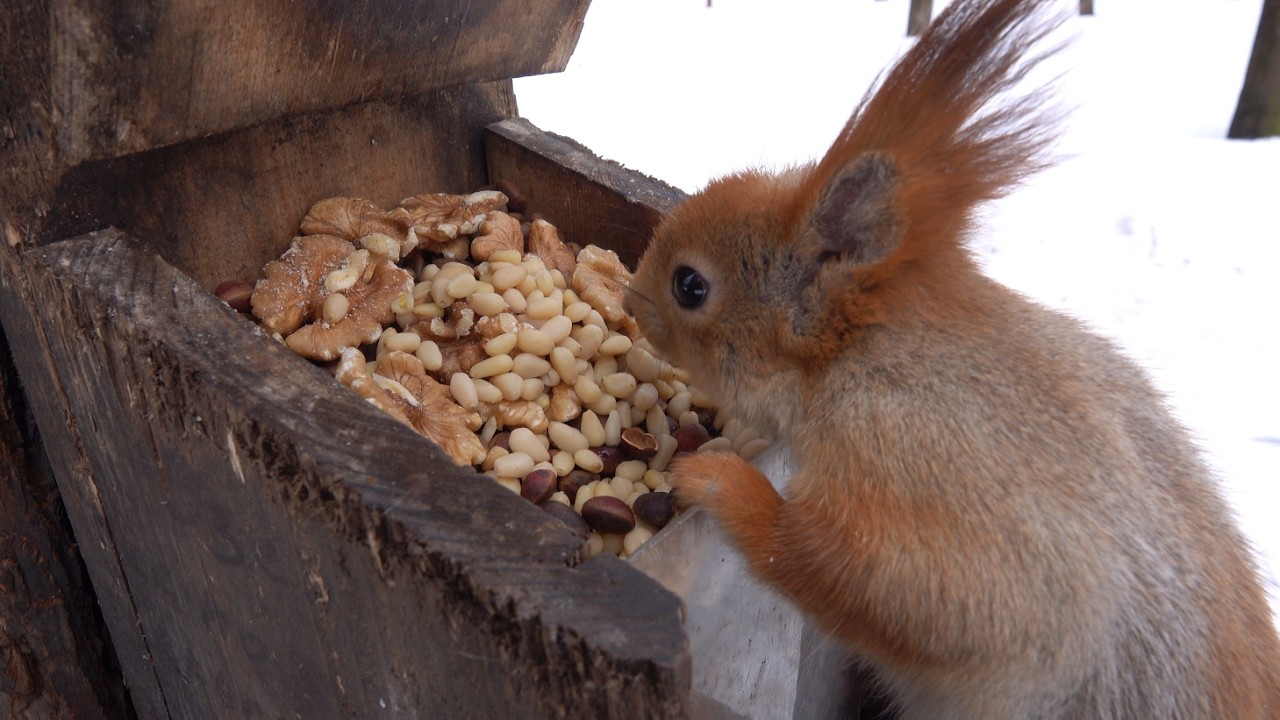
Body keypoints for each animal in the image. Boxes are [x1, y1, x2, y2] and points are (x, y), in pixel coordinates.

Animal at [623, 0, 1280, 717]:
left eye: (690, 286)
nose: (629, 300)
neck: (863, 352)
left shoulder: (914, 459)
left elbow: (873, 581)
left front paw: (722, 484)